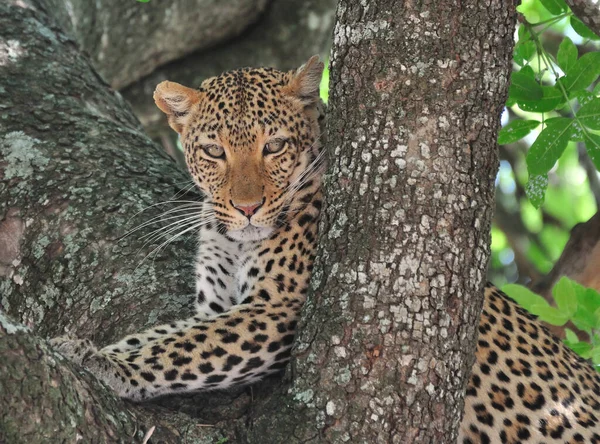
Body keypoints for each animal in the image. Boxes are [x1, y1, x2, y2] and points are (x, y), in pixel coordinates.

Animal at [50, 57, 600, 442]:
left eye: (273, 147)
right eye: (213, 151)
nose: (247, 208)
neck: (234, 240)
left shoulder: (276, 308)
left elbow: (181, 350)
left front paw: (107, 366)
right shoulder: (218, 305)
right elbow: (166, 334)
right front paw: (74, 347)